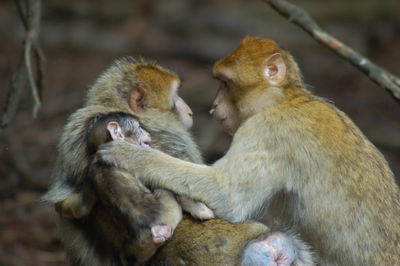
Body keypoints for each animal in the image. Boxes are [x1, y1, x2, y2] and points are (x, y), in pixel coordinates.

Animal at [97, 38, 400, 266]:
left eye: (225, 83)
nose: (213, 106)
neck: (285, 101)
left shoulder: (268, 131)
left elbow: (227, 197)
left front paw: (129, 155)